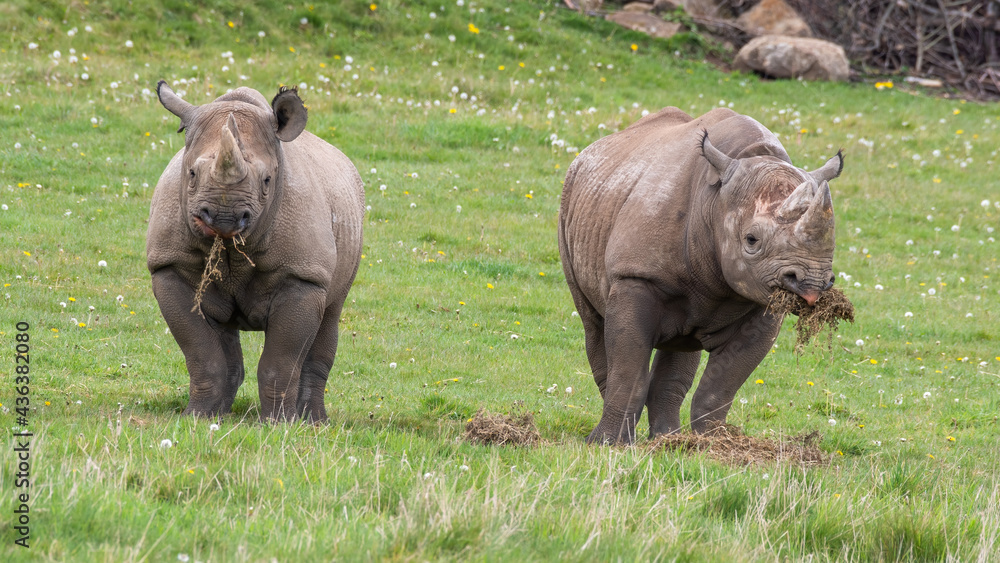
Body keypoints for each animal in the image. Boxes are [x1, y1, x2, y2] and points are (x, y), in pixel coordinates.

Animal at [147, 81, 364, 421]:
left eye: (266, 180)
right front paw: (197, 417)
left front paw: (280, 424)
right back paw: (219, 415)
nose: (223, 218)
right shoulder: (168, 267)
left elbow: (281, 362)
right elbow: (202, 355)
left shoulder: (302, 276)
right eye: (192, 174)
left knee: (332, 311)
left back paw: (315, 422)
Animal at [558, 107, 842, 444]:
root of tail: (591, 150)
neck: (715, 203)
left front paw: (713, 443)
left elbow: (721, 386)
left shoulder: (766, 301)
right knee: (593, 323)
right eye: (751, 240)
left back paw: (667, 438)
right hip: (571, 201)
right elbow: (627, 373)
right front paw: (607, 445)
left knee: (681, 343)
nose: (812, 285)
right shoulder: (635, 277)